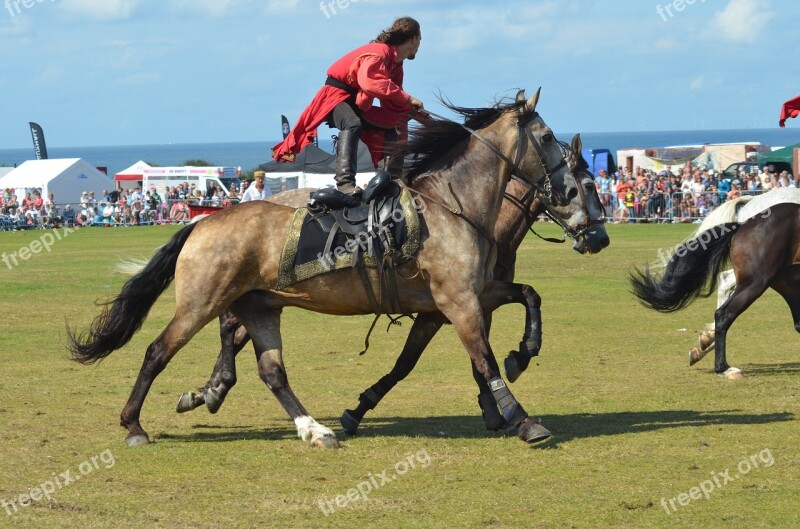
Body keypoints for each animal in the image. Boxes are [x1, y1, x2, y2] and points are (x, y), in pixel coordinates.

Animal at [175, 137, 608, 434]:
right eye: (586, 186)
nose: (600, 237)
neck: (473, 217)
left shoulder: (469, 302)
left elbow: (509, 317)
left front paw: (506, 385)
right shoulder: (450, 306)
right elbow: (422, 362)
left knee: (234, 330)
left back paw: (209, 390)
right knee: (229, 329)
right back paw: (210, 390)